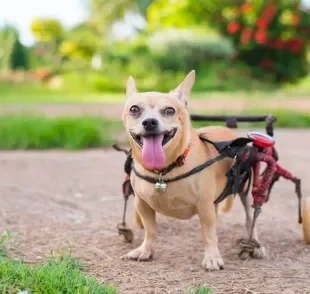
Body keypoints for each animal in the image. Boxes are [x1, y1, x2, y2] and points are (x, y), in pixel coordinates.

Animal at [122, 69, 266, 272]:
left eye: (170, 110)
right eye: (134, 109)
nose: (149, 122)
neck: (164, 170)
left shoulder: (204, 205)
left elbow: (208, 234)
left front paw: (212, 257)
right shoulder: (142, 204)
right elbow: (150, 230)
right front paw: (145, 250)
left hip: (246, 192)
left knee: (250, 219)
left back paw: (256, 245)